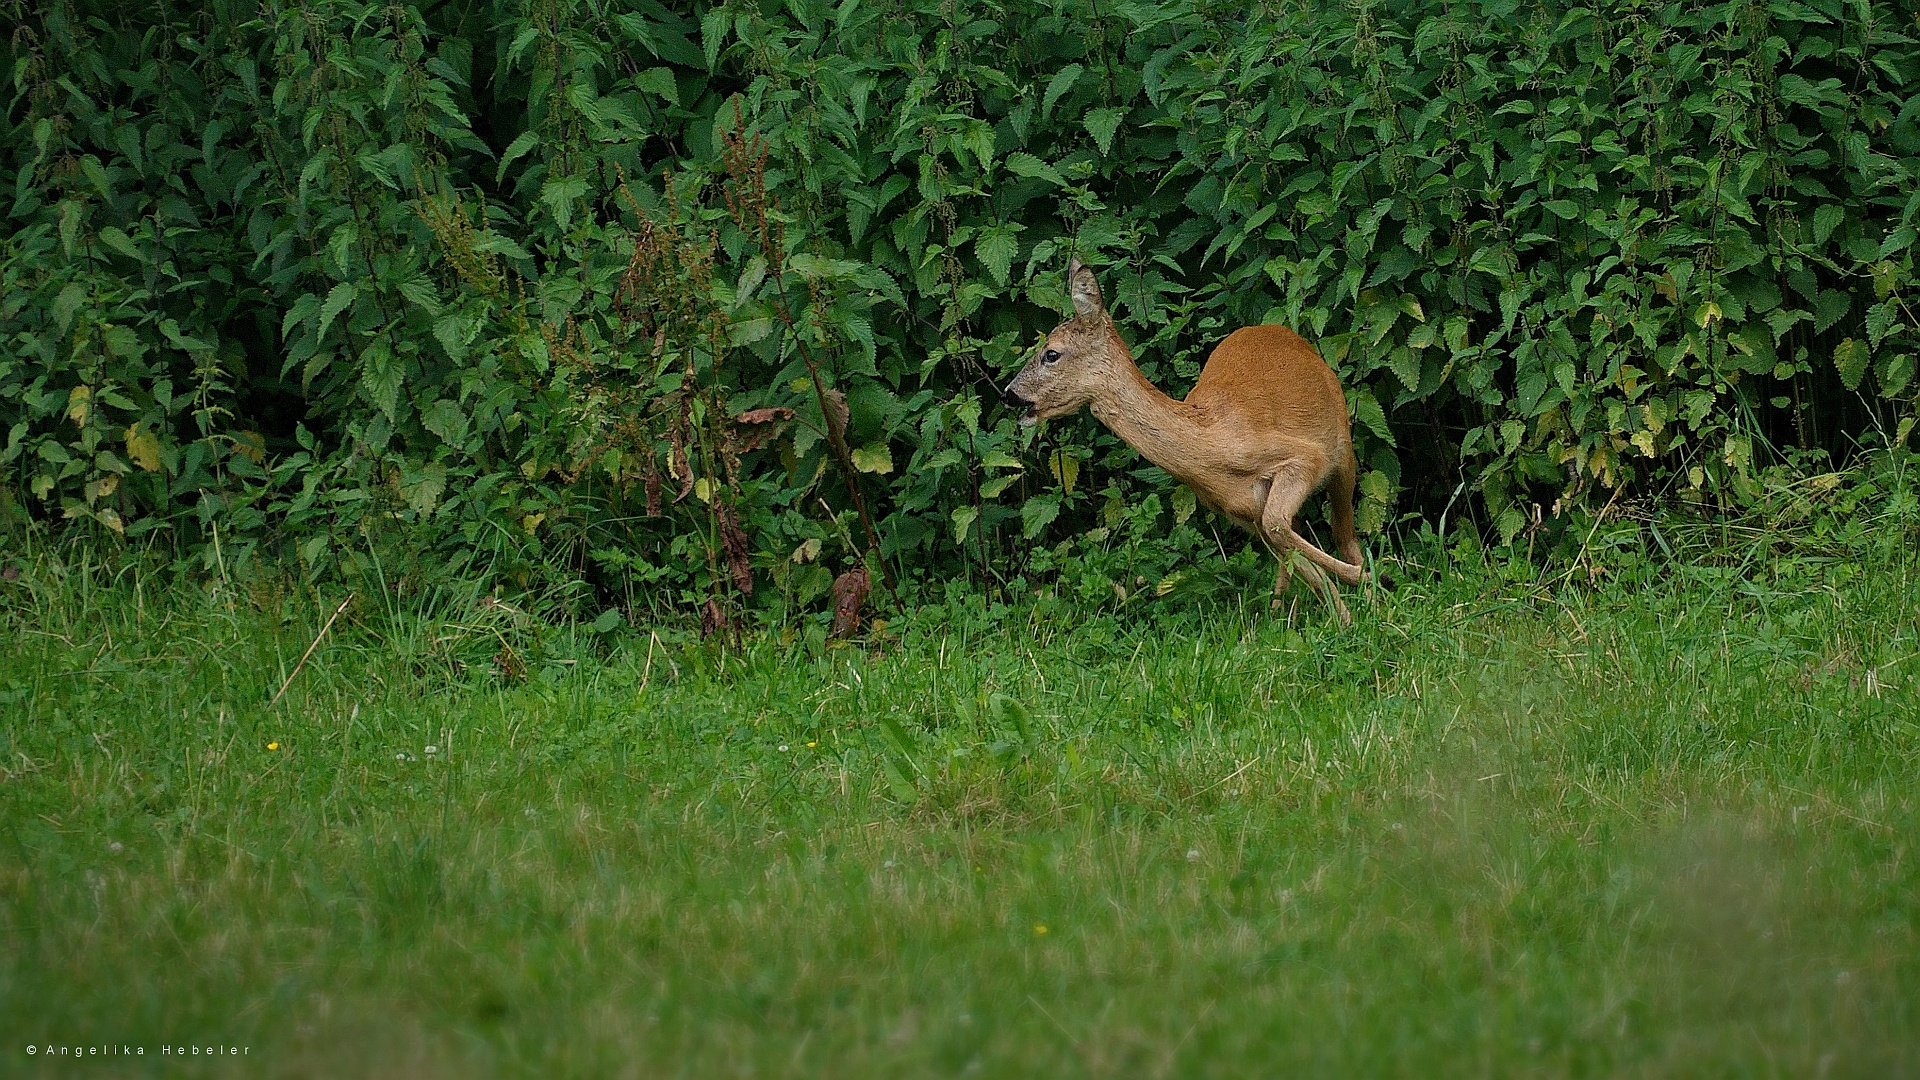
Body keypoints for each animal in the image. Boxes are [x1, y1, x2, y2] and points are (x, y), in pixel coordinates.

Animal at [998, 255, 1374, 618]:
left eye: (1051, 354)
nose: (1009, 394)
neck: (1212, 449)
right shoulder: (1239, 511)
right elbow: (1285, 544)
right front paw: (1343, 614)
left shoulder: (1305, 455)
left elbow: (1279, 526)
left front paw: (1358, 591)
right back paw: (1284, 610)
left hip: (1343, 447)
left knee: (1343, 531)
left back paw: (1368, 591)